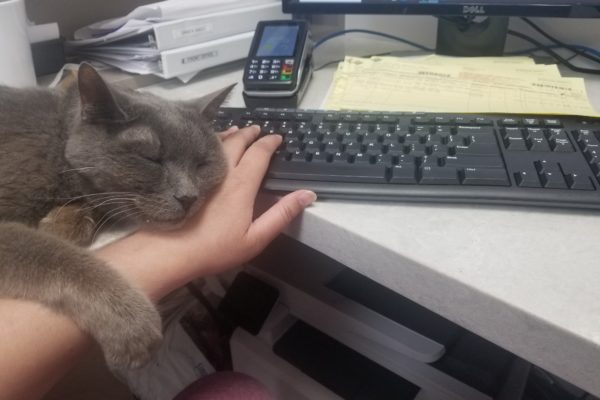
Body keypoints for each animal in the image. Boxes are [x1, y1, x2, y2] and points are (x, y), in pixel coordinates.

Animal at [0, 63, 232, 368]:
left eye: (202, 164)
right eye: (151, 159)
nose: (188, 197)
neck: (56, 144)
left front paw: (62, 223)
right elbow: (51, 254)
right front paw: (132, 324)